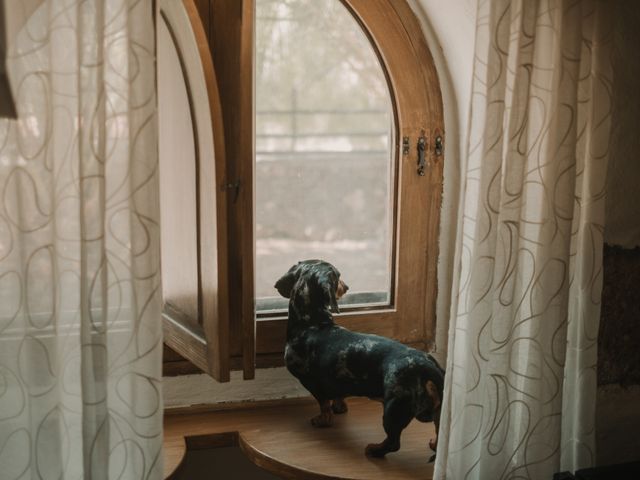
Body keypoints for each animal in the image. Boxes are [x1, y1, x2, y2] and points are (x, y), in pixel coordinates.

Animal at [276, 260, 444, 460]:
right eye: (339, 276)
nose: (347, 287)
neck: (312, 323)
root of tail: (429, 369)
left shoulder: (313, 384)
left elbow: (324, 405)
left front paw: (323, 420)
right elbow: (338, 395)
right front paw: (340, 407)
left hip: (393, 409)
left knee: (393, 443)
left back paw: (374, 450)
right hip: (438, 411)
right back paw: (434, 444)